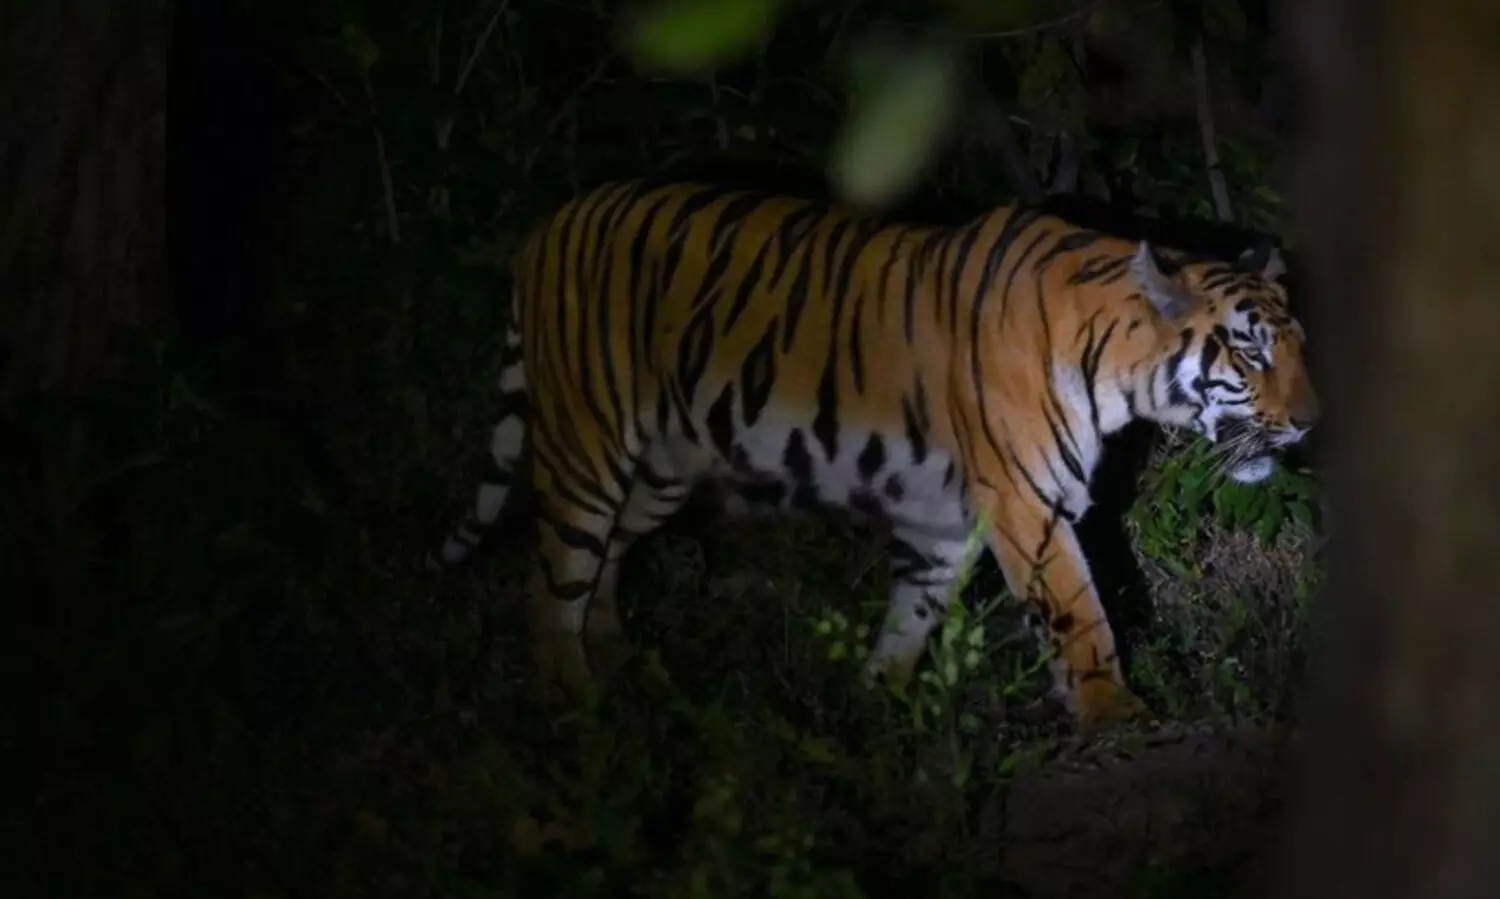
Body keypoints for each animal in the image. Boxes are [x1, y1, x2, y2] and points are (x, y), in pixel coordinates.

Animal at [430, 177, 1319, 729]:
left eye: (1297, 346)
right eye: (1251, 353)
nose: (1310, 422)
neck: (1119, 365)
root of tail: (548, 226)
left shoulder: (949, 524)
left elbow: (911, 615)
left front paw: (874, 702)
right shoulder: (1027, 504)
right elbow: (1080, 612)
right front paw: (1113, 710)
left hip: (664, 465)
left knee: (610, 555)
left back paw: (620, 662)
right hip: (588, 448)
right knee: (551, 586)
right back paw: (577, 703)